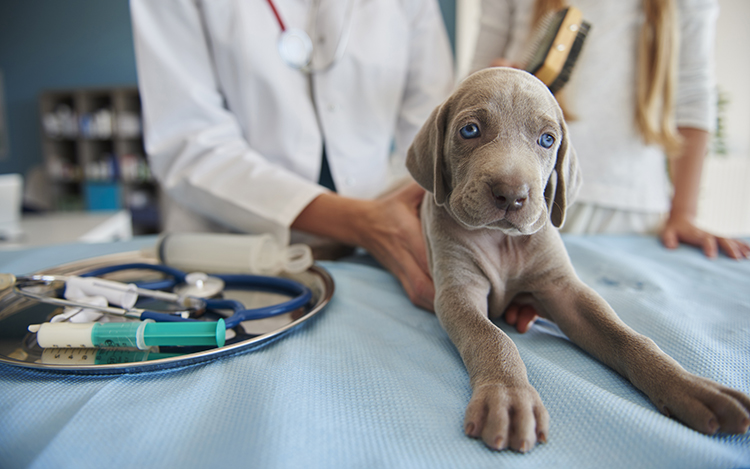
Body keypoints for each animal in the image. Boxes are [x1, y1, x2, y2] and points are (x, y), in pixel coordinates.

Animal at [408, 67, 750, 452]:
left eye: (547, 140)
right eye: (469, 130)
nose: (511, 195)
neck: (502, 240)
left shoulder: (564, 291)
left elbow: (627, 337)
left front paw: (688, 385)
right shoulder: (458, 292)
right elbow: (491, 337)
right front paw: (509, 397)